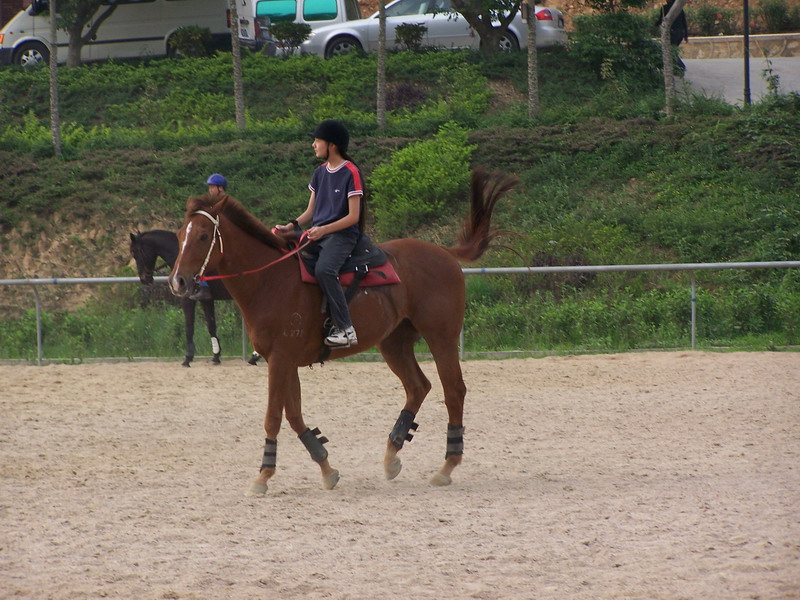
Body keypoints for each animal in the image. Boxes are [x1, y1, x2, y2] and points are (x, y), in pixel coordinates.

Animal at [128, 229, 233, 366]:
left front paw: (188, 358)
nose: (144, 279)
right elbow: (211, 326)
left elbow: (189, 327)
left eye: (135, 253)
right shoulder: (206, 300)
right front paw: (216, 356)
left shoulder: (187, 299)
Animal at [170, 169, 520, 496]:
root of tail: (444, 253)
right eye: (179, 234)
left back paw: (447, 466)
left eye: (203, 236)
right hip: (394, 343)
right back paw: (392, 453)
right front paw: (326, 468)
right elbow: (294, 415)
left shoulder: (280, 360)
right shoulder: (284, 361)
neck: (272, 280)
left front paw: (263, 476)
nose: (178, 281)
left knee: (454, 391)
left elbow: (273, 416)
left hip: (441, 337)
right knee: (418, 386)